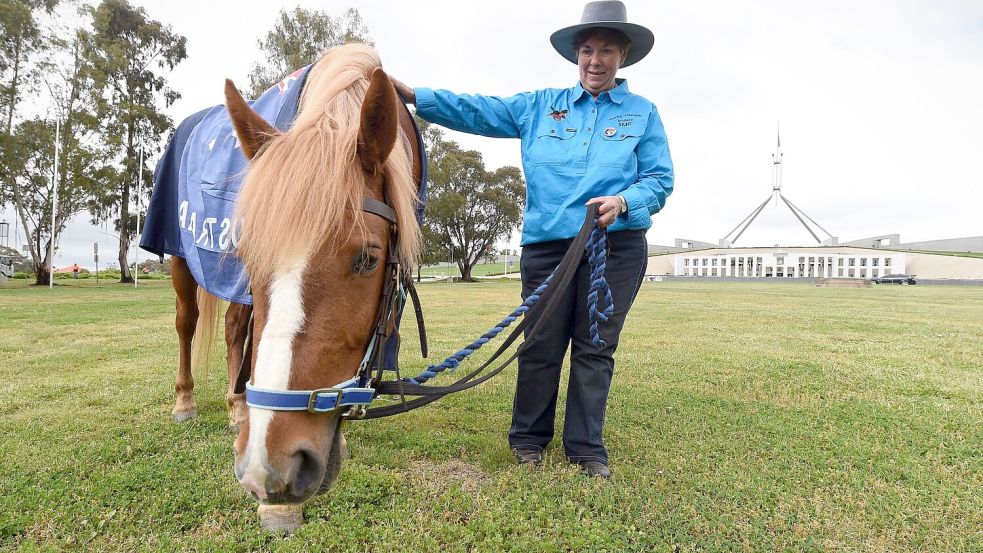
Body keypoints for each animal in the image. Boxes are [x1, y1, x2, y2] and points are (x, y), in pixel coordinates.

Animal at [162, 44, 422, 532]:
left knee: (234, 328)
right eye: (248, 255)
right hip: (179, 257)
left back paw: (236, 405)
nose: (269, 467)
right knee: (187, 323)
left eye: (368, 258)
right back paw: (186, 402)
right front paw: (278, 507)